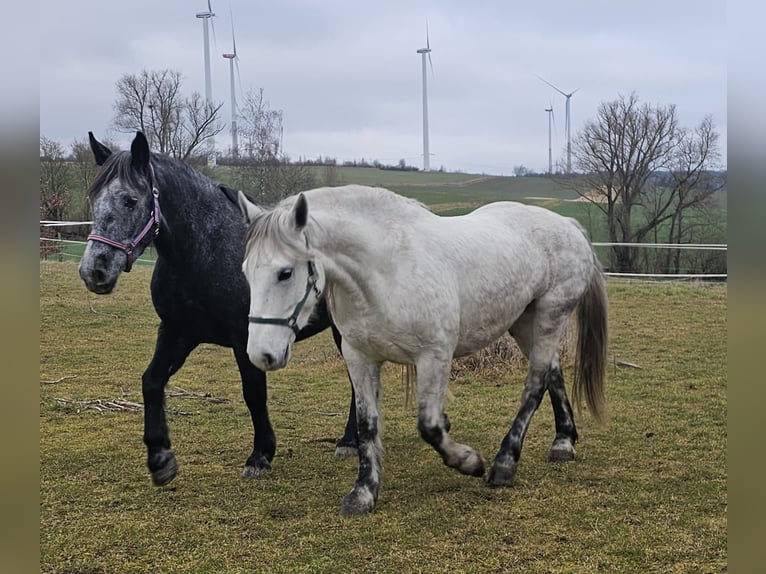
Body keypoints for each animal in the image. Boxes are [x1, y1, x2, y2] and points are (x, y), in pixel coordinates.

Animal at [78, 132, 360, 486]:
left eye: (130, 200)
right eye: (93, 197)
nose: (94, 271)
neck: (206, 251)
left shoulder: (244, 338)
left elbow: (253, 392)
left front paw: (260, 455)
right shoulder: (176, 331)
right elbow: (152, 381)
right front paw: (160, 458)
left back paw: (350, 441)